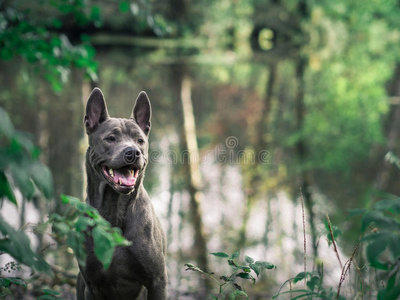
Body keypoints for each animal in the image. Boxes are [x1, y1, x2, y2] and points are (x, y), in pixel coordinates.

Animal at [76, 88, 166, 298]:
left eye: (140, 140)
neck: (114, 208)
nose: (133, 152)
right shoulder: (91, 284)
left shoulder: (157, 281)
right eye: (111, 138)